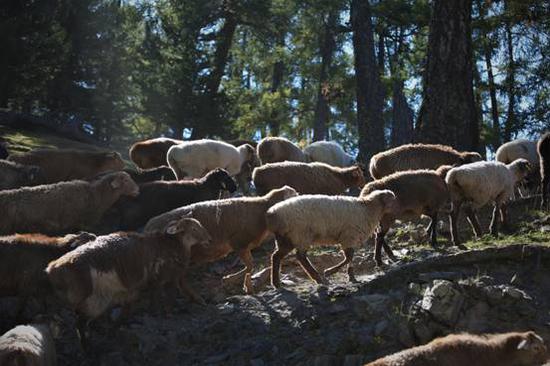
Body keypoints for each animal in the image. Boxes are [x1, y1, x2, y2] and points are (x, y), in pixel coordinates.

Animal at [45, 217, 211, 344]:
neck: (171, 244)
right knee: (80, 323)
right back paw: (89, 347)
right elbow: (163, 295)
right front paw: (165, 312)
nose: (208, 239)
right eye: (194, 229)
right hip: (94, 300)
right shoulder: (162, 277)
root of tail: (53, 269)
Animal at [142, 186, 298, 294]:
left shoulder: (244, 245)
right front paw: (230, 279)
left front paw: (247, 287)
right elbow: (250, 266)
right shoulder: (238, 243)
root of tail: (148, 227)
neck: (262, 209)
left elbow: (250, 266)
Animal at [266, 190, 396, 288]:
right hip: (299, 234)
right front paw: (329, 272)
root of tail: (274, 213)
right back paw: (318, 278)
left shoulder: (350, 238)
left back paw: (277, 283)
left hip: (286, 238)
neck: (368, 209)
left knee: (277, 256)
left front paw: (351, 276)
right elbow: (349, 257)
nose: (397, 211)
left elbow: (350, 258)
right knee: (300, 257)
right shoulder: (348, 236)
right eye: (392, 199)